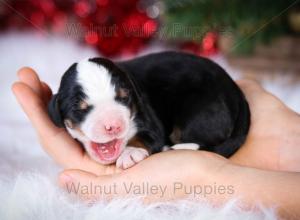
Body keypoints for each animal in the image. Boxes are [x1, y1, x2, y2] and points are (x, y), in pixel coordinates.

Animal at [48, 51, 251, 168]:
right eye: (79, 108)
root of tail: (236, 91)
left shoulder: (149, 118)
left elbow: (146, 137)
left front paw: (130, 152)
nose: (113, 126)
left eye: (124, 98)